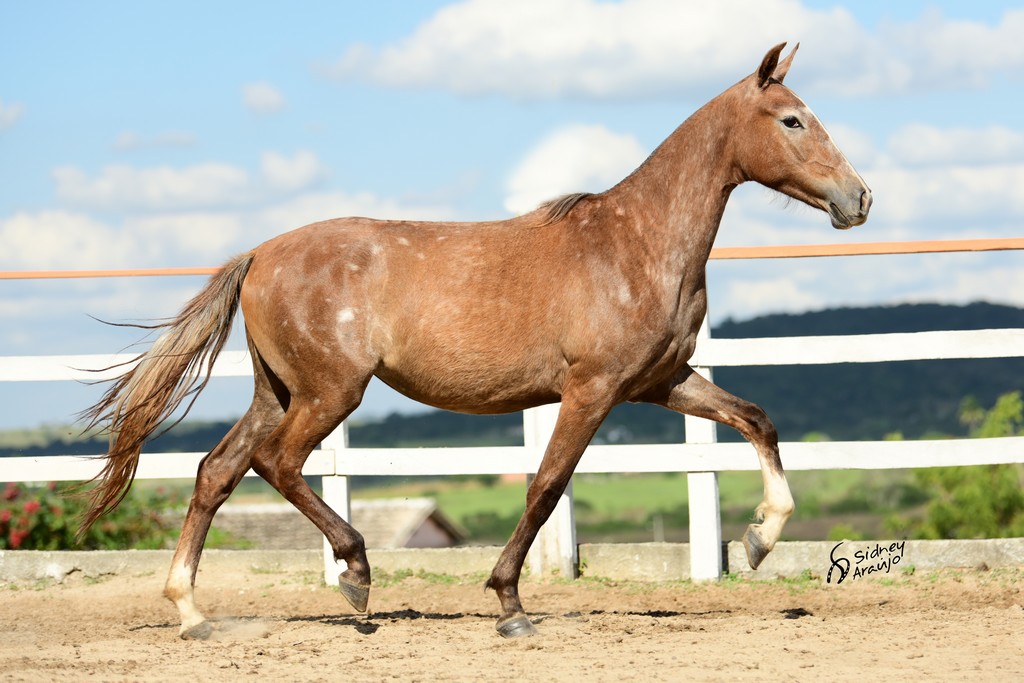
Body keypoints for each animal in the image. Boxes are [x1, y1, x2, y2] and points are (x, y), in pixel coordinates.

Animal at [79, 44, 872, 643]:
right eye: (793, 119)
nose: (859, 198)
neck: (636, 245)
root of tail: (259, 253)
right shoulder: (591, 389)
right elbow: (546, 486)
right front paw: (510, 605)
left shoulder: (662, 381)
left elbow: (758, 420)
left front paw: (759, 540)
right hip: (331, 391)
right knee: (278, 463)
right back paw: (356, 579)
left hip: (279, 390)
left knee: (217, 470)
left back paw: (192, 613)